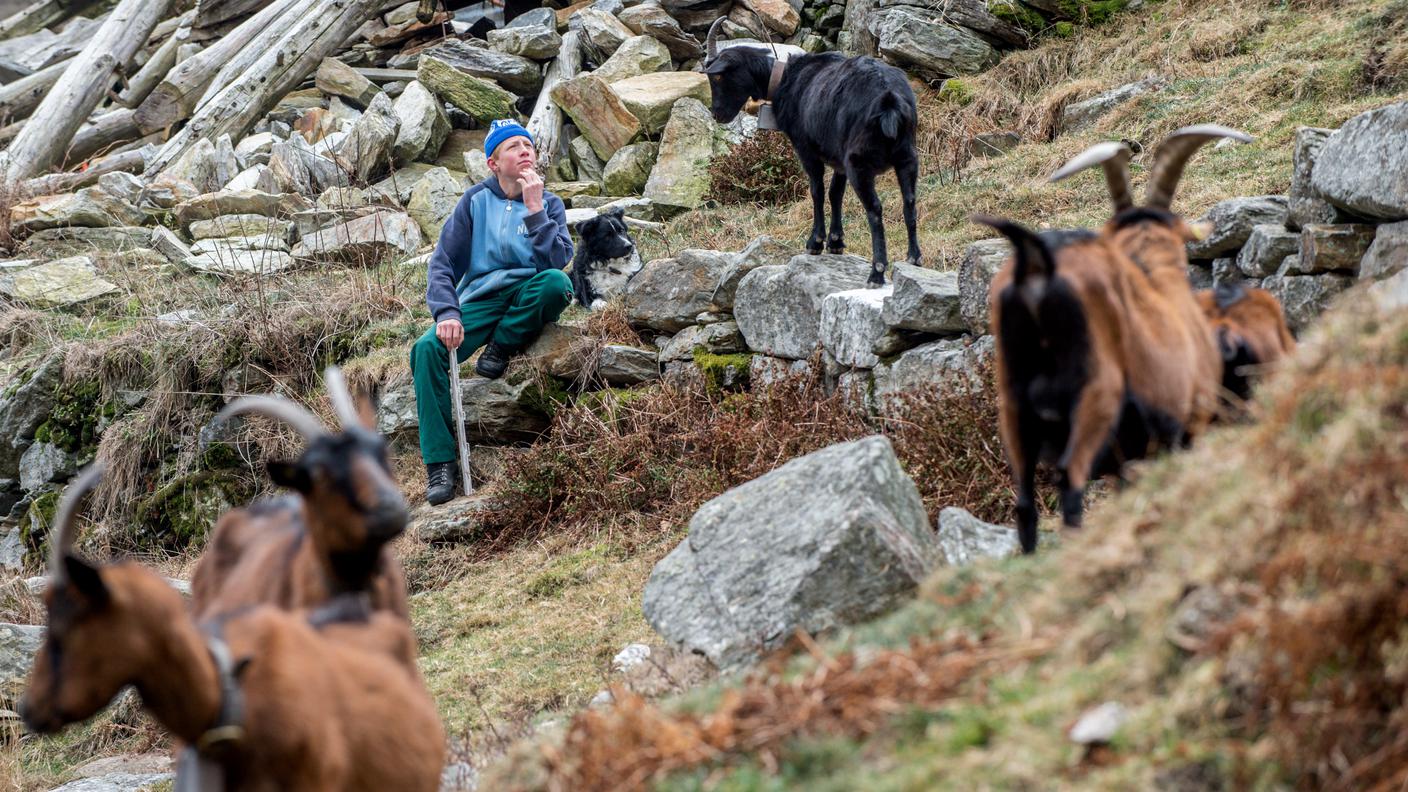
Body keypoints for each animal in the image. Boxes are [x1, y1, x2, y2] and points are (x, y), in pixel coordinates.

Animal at [698, 20, 918, 286]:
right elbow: (835, 193)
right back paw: (914, 258)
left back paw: (877, 272)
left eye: (718, 76)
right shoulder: (838, 158)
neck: (784, 78)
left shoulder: (806, 150)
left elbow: (817, 191)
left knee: (875, 209)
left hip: (860, 162)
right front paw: (836, 242)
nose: (717, 114)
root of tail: (890, 102)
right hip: (907, 156)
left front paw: (816, 242)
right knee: (910, 201)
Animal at [979, 126, 1244, 552]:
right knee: (1069, 480)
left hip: (1014, 409)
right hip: (1096, 395)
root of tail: (1037, 264)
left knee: (1024, 503)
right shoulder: (1186, 425)